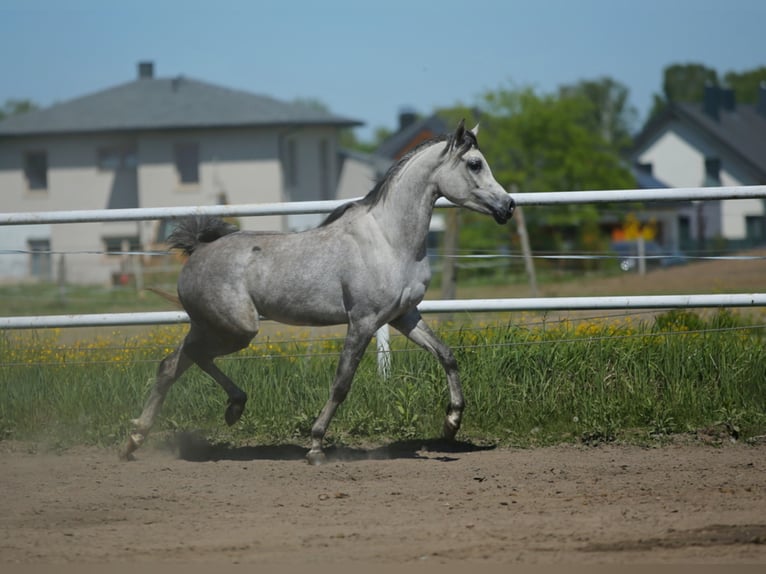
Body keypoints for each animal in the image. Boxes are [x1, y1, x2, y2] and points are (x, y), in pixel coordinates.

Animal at [121, 120, 516, 464]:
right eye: (475, 163)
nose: (508, 206)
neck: (389, 239)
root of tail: (197, 251)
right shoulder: (363, 321)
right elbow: (341, 383)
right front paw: (315, 445)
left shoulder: (404, 316)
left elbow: (447, 355)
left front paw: (451, 424)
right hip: (236, 328)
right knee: (187, 359)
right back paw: (211, 414)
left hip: (213, 326)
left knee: (173, 364)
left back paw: (144, 436)